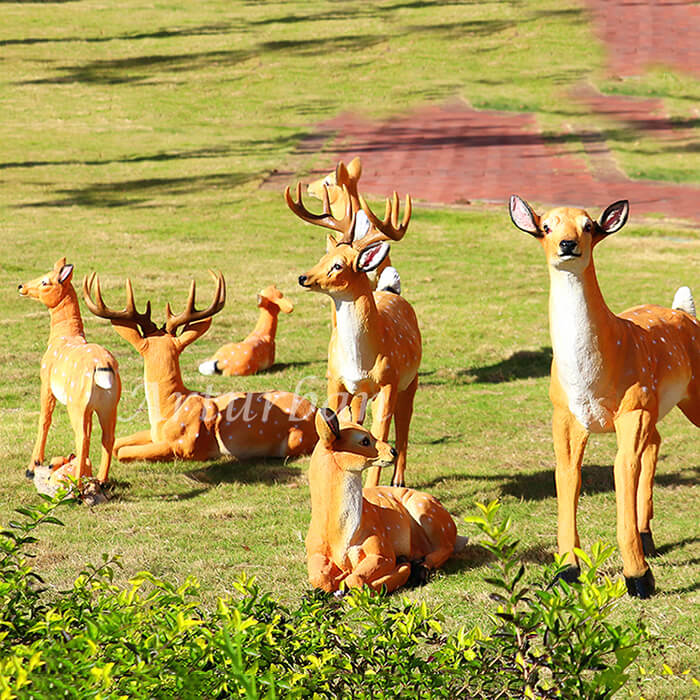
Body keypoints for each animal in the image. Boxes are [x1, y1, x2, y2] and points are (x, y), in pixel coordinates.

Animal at [18, 258, 121, 486]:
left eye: (45, 281)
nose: (21, 286)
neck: (63, 337)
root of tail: (103, 367)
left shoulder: (46, 382)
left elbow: (44, 420)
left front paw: (31, 468)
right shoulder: (91, 408)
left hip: (77, 403)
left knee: (82, 437)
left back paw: (77, 483)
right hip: (109, 404)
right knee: (107, 436)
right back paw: (99, 480)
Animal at [81, 270, 318, 462]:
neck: (168, 409)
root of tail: (317, 412)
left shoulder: (185, 446)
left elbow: (121, 452)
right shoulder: (155, 434)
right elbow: (118, 443)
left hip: (295, 440)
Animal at [284, 179, 422, 486]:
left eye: (338, 265)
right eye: (323, 257)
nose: (303, 277)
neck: (360, 361)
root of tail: (389, 290)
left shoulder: (389, 381)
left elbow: (382, 433)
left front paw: (374, 487)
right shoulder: (334, 378)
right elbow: (342, 424)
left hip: (410, 380)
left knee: (404, 428)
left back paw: (398, 481)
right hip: (361, 393)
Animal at [304, 408, 460, 592]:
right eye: (364, 440)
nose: (393, 451)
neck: (340, 535)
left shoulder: (382, 546)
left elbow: (356, 580)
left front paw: (401, 567)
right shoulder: (314, 550)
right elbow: (320, 578)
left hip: (426, 511)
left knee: (446, 547)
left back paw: (419, 568)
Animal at [508, 194, 700, 600]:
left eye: (589, 225)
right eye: (545, 226)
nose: (568, 244)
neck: (591, 380)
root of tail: (684, 312)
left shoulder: (632, 410)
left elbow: (622, 469)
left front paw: (640, 580)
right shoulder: (565, 415)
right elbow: (568, 476)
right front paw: (566, 571)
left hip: (683, 397)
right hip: (654, 405)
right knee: (656, 443)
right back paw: (648, 537)